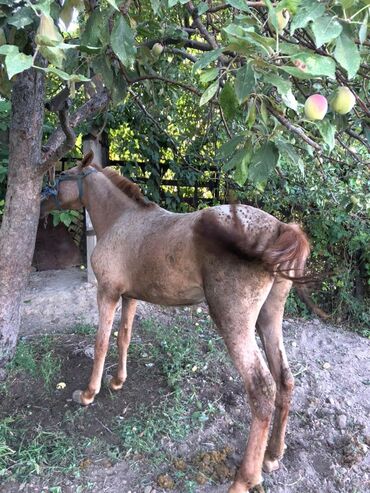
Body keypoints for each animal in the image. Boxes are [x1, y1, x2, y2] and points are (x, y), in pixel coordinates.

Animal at [39, 152, 312, 490]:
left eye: (62, 178)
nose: (41, 201)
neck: (121, 220)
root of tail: (281, 229)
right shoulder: (130, 296)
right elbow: (123, 337)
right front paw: (117, 380)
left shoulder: (107, 293)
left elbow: (101, 342)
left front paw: (89, 393)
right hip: (269, 318)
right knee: (284, 379)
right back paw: (273, 454)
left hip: (233, 322)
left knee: (262, 389)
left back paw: (244, 478)